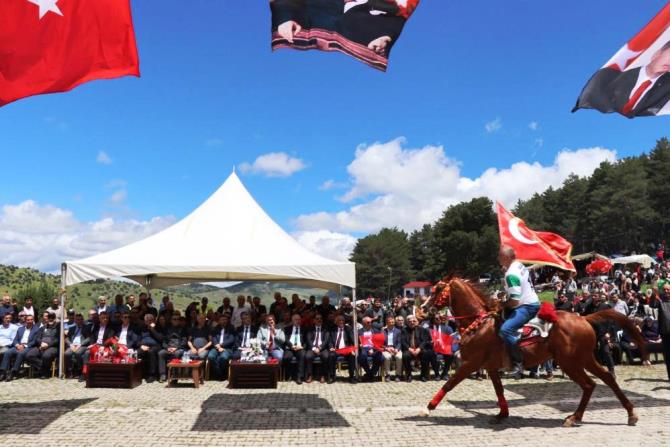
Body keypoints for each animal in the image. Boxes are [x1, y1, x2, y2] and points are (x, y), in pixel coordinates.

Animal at [426, 278, 652, 428]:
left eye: (437, 289)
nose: (425, 308)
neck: (479, 323)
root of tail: (584, 318)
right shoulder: (490, 367)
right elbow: (499, 390)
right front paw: (502, 413)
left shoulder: (471, 363)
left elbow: (450, 383)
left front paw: (429, 406)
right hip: (584, 359)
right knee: (604, 379)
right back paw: (626, 414)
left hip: (570, 362)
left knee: (590, 384)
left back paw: (575, 417)